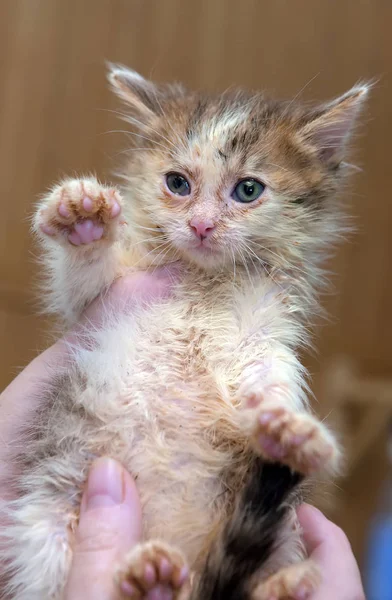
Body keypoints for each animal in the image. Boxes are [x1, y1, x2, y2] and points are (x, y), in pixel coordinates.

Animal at [0, 68, 368, 600]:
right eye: (177, 183)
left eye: (248, 190)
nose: (201, 225)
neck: (203, 281)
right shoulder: (98, 305)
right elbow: (81, 281)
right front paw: (83, 219)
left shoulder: (267, 327)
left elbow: (268, 373)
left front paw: (288, 426)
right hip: (41, 514)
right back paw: (146, 577)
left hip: (280, 535)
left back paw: (273, 585)